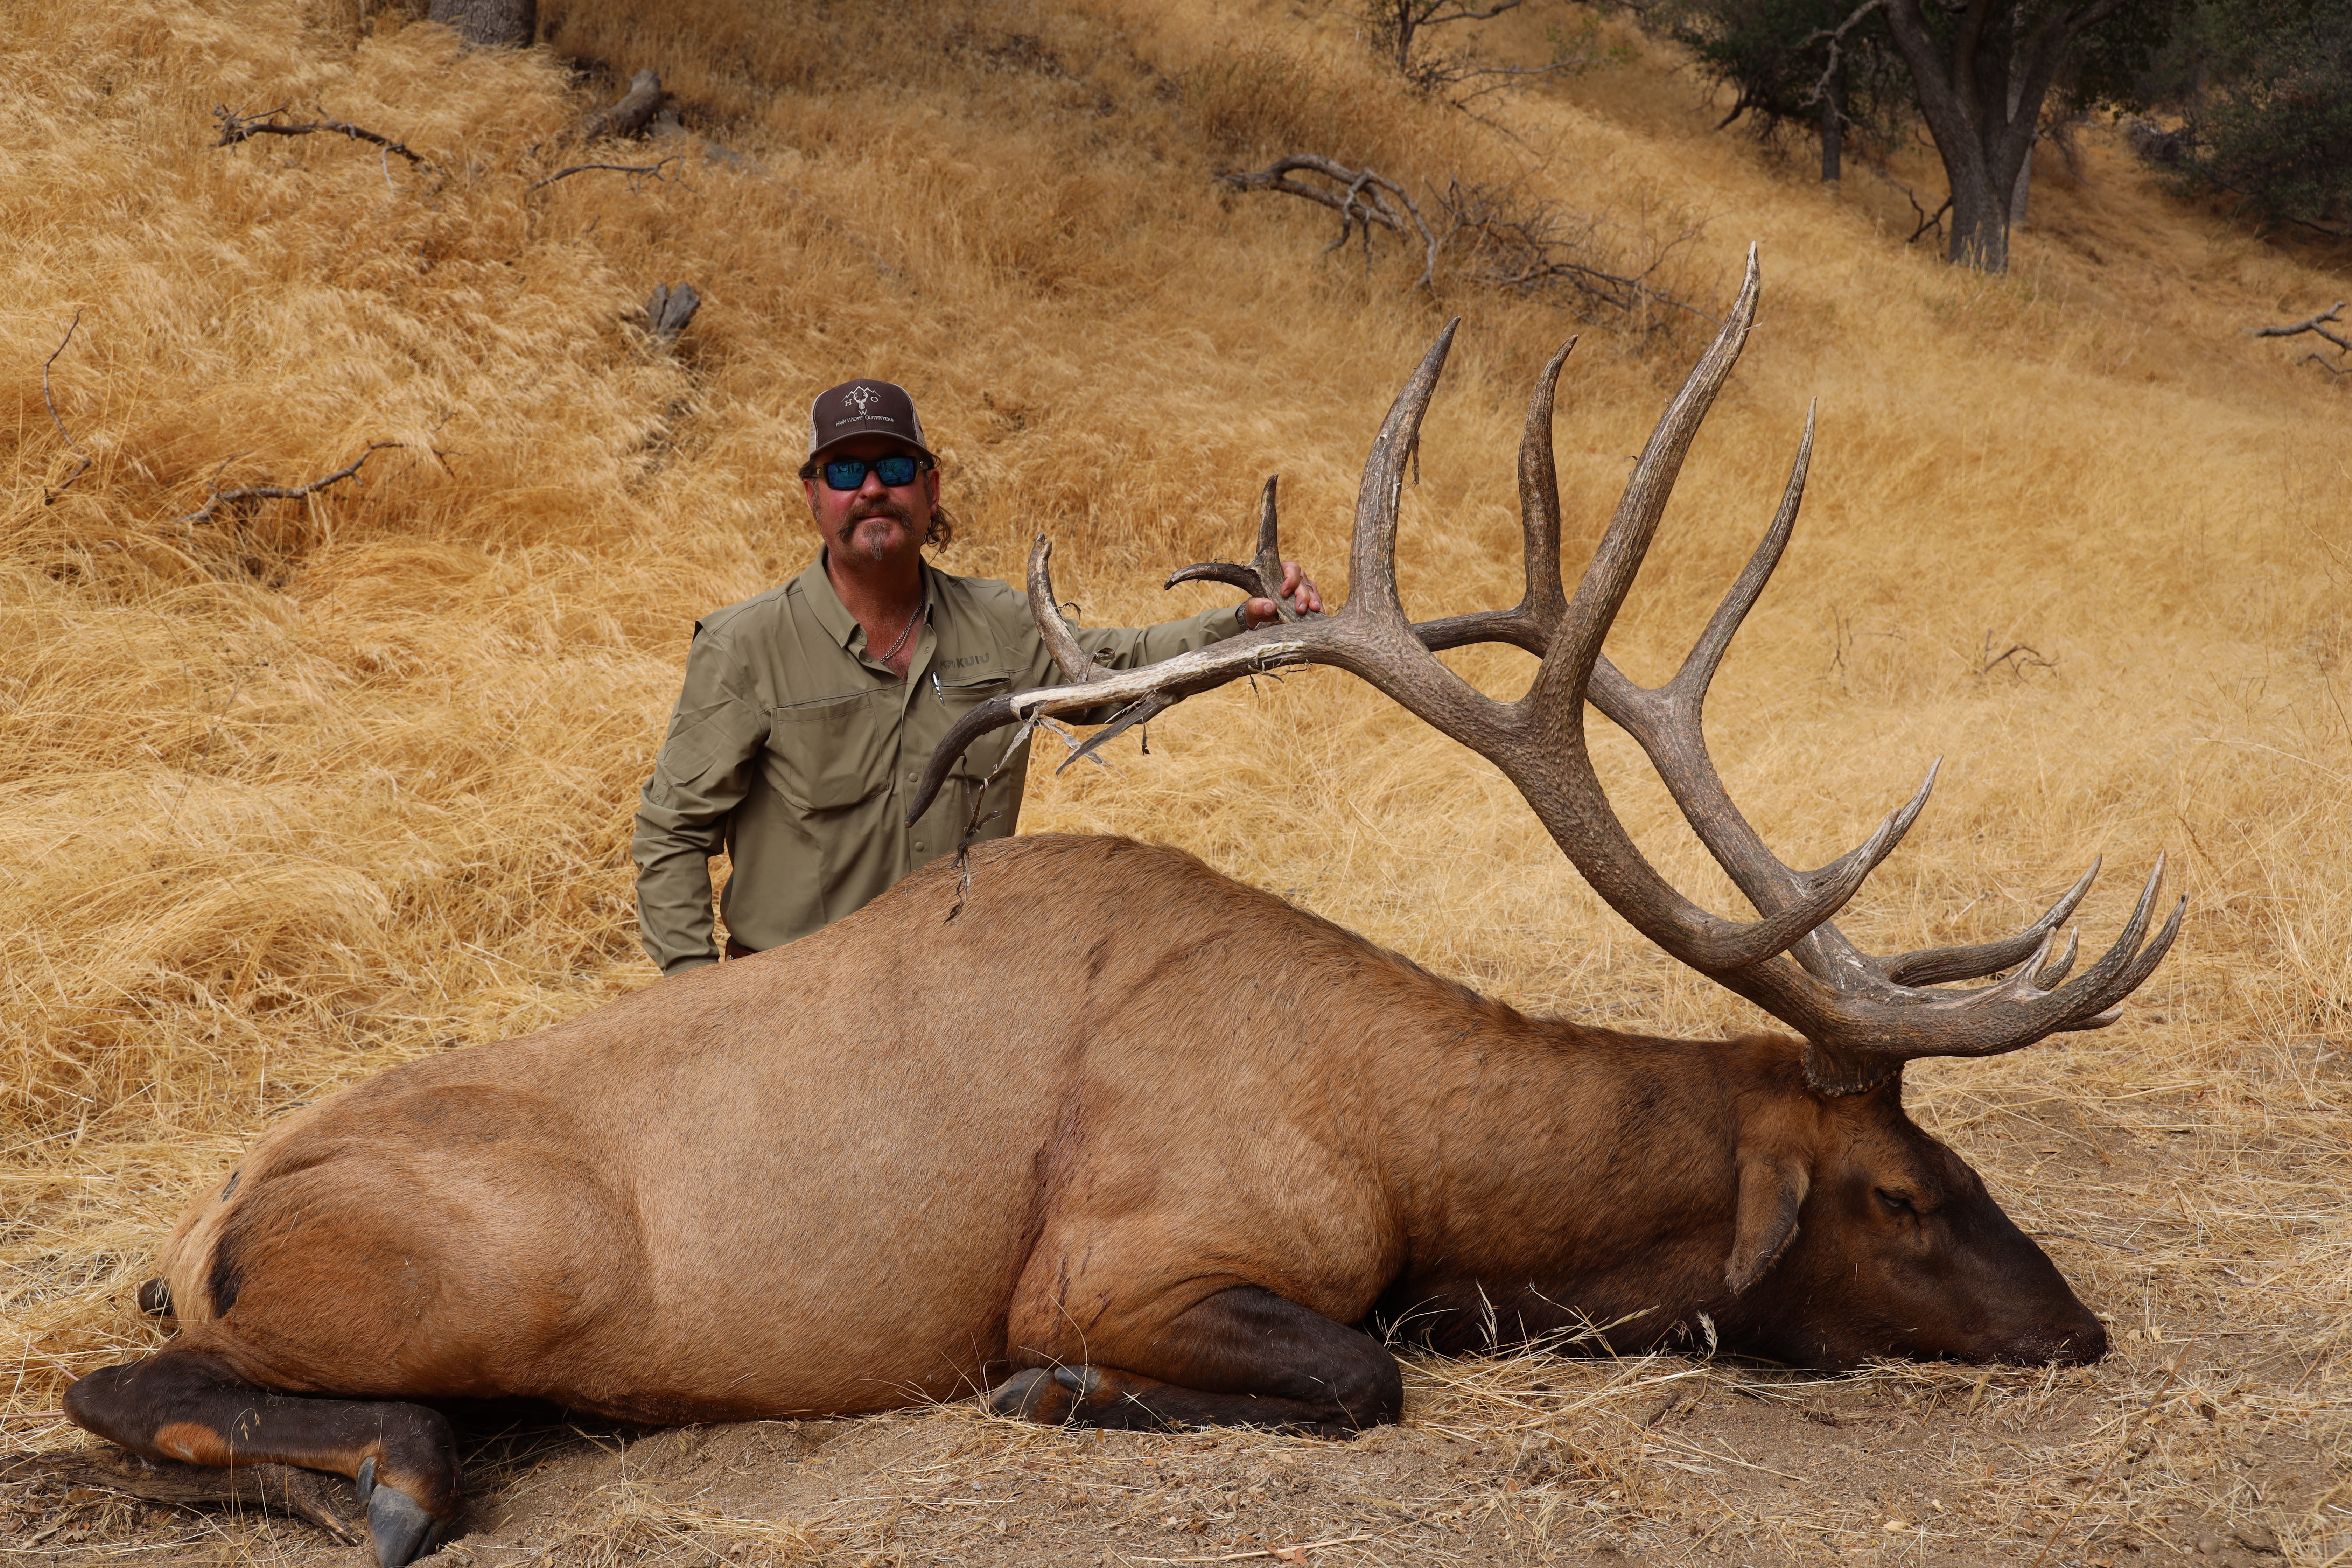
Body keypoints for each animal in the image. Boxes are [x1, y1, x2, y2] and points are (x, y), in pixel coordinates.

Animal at [60, 254, 2178, 1568]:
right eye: (1903, 1198)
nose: (2079, 1330)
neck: (1418, 1161)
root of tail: (195, 1220)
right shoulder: (1130, 1258)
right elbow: (1356, 1369)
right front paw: (1061, 1397)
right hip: (490, 1275)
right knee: (139, 1380)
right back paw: (391, 1483)